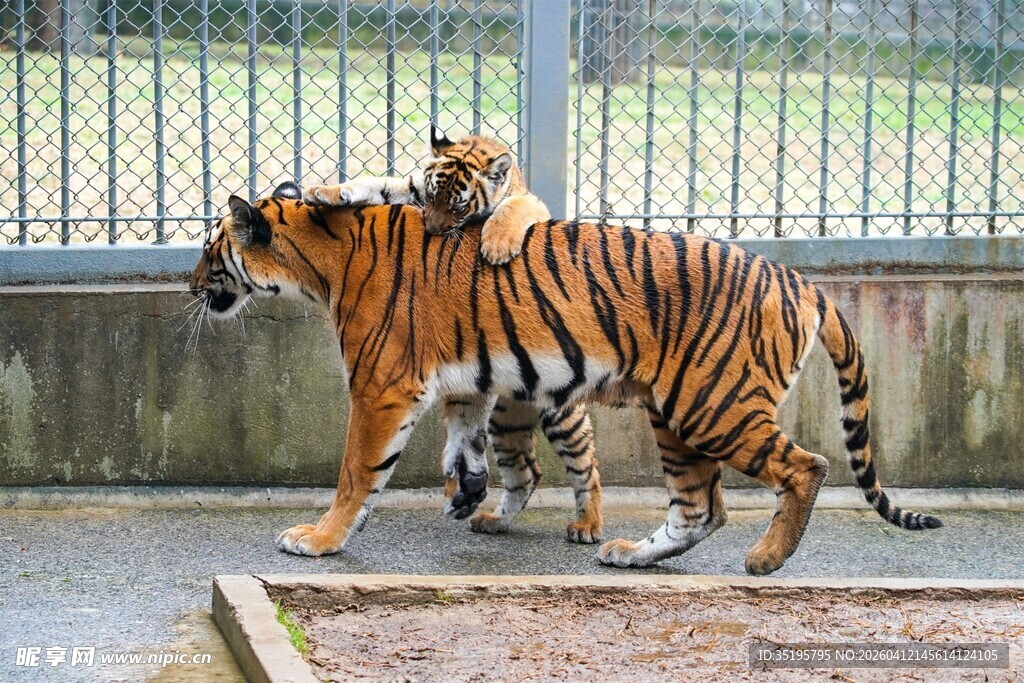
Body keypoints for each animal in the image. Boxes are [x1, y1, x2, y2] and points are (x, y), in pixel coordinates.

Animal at [189, 181, 942, 575]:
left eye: (208, 249)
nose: (191, 286)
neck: (319, 262)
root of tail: (799, 278)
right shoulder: (466, 384)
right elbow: (468, 446)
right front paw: (469, 492)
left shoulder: (381, 388)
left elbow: (355, 474)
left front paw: (319, 539)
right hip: (676, 415)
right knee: (700, 507)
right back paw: (631, 553)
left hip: (711, 405)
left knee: (806, 465)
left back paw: (766, 558)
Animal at [303, 128, 604, 544]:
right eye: (431, 198)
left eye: (459, 208)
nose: (430, 230)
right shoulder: (410, 187)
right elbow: (376, 183)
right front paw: (325, 191)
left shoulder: (530, 203)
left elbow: (514, 209)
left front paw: (496, 245)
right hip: (504, 418)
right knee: (527, 471)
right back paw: (494, 521)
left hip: (562, 415)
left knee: (586, 466)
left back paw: (588, 526)